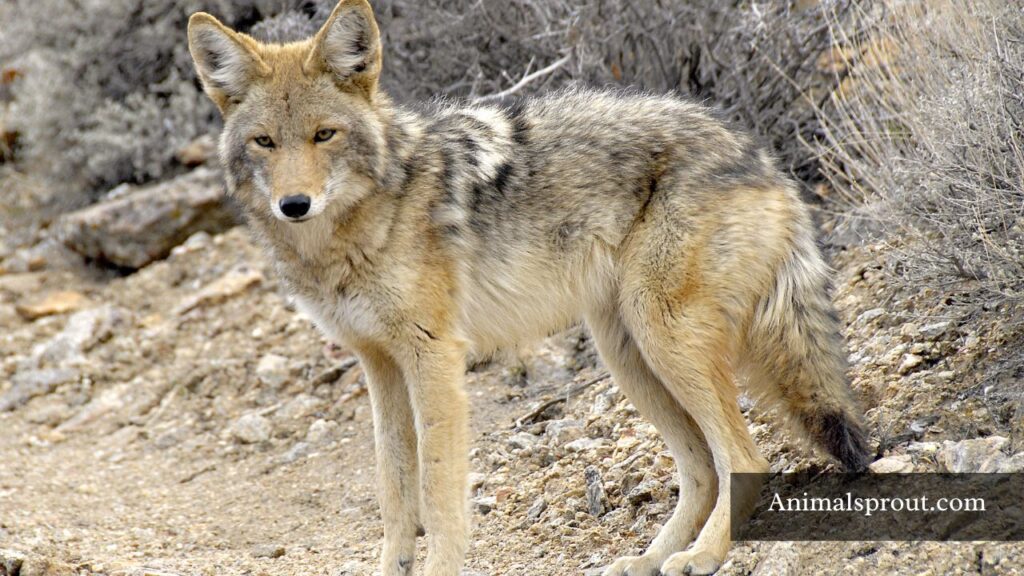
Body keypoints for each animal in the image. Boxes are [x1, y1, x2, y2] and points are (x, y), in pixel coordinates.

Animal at [187, 1, 870, 574]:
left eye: (324, 135)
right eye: (264, 142)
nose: (293, 205)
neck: (359, 226)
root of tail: (761, 155)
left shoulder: (433, 358)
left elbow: (438, 497)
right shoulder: (377, 364)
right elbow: (394, 493)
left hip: (663, 337)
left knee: (746, 460)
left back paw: (701, 557)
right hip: (628, 354)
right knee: (702, 468)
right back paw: (649, 559)